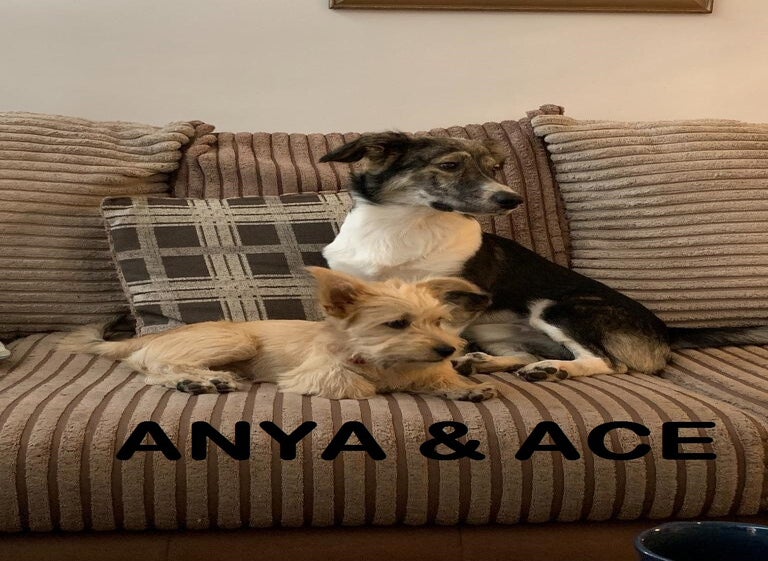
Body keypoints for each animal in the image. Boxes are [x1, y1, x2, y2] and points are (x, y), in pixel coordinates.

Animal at [58, 267, 498, 401]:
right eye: (398, 323)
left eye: (438, 321)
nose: (447, 349)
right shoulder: (316, 374)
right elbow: (359, 385)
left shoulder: (426, 368)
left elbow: (438, 379)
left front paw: (465, 387)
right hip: (236, 340)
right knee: (152, 368)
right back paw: (200, 381)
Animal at [320, 132, 768, 382]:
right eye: (449, 165)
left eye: (493, 168)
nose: (512, 199)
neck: (403, 225)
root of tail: (666, 332)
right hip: (495, 330)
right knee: (522, 353)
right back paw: (484, 362)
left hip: (559, 308)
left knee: (608, 363)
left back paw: (555, 369)